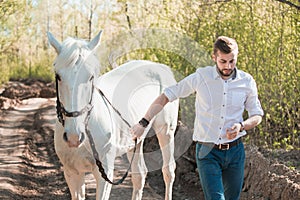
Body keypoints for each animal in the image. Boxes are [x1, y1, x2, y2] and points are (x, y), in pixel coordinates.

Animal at [47, 30, 178, 200]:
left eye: (91, 77)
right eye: (58, 76)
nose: (74, 137)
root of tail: (160, 67)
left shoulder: (105, 174)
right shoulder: (72, 173)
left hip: (166, 132)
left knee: (168, 171)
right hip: (136, 141)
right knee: (139, 175)